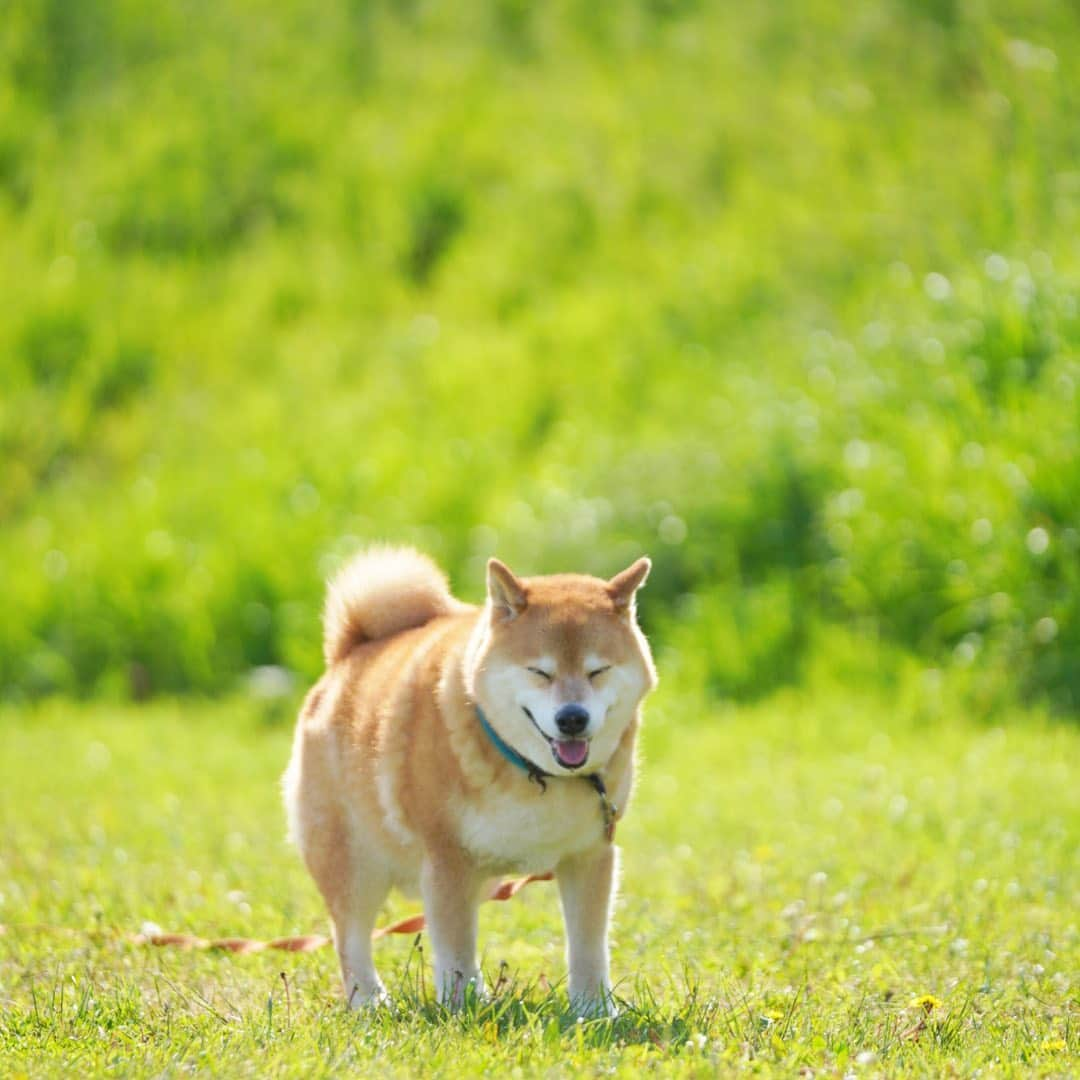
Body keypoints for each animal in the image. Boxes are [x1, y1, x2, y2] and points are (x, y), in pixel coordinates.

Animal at [282, 548, 652, 1010]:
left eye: (598, 671)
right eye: (539, 672)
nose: (572, 718)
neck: (529, 771)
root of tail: (349, 655)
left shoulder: (590, 855)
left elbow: (588, 944)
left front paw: (594, 1008)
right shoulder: (448, 858)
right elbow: (455, 948)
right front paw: (462, 1008)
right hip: (354, 863)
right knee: (350, 938)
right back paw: (369, 1000)